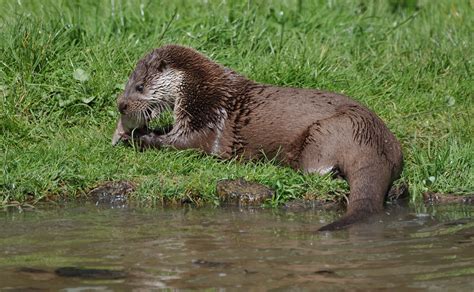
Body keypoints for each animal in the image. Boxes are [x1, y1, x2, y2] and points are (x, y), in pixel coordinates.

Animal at [112, 44, 404, 230]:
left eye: (140, 86)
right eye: (127, 83)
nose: (121, 105)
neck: (201, 90)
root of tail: (373, 141)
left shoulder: (205, 121)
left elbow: (180, 143)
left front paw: (136, 138)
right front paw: (133, 131)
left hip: (325, 133)